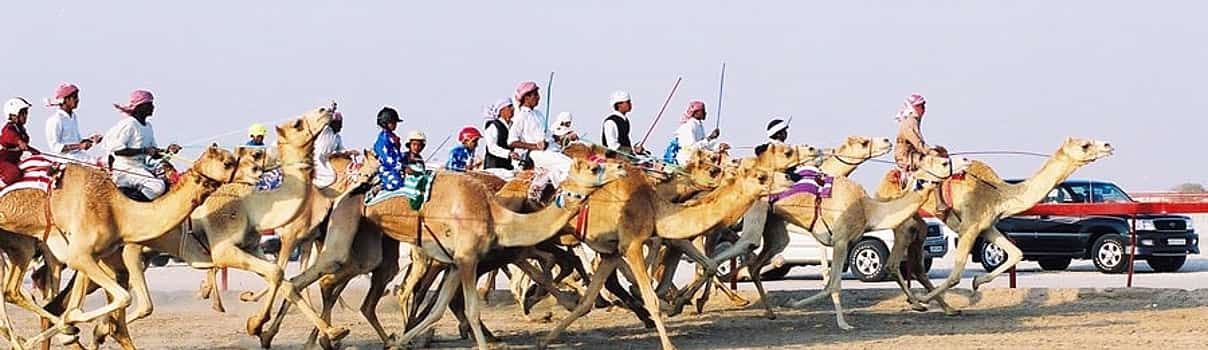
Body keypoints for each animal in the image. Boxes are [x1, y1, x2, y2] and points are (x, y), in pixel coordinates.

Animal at [260, 156, 628, 350]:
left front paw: (399, 342)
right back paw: (274, 330)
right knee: (302, 278)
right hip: (344, 229)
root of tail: (341, 191)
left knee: (329, 280)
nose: (623, 169)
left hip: (369, 245)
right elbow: (471, 310)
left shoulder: (453, 264)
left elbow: (438, 309)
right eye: (594, 167)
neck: (496, 213)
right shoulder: (466, 259)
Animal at [879, 136, 1111, 311]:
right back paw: (918, 303)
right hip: (901, 216)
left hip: (919, 221)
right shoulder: (969, 226)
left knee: (917, 261)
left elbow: (1016, 253)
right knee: (894, 260)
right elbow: (956, 274)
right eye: (1085, 145)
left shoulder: (986, 226)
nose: (1108, 145)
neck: (998, 194)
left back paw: (947, 308)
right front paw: (920, 300)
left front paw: (976, 282)